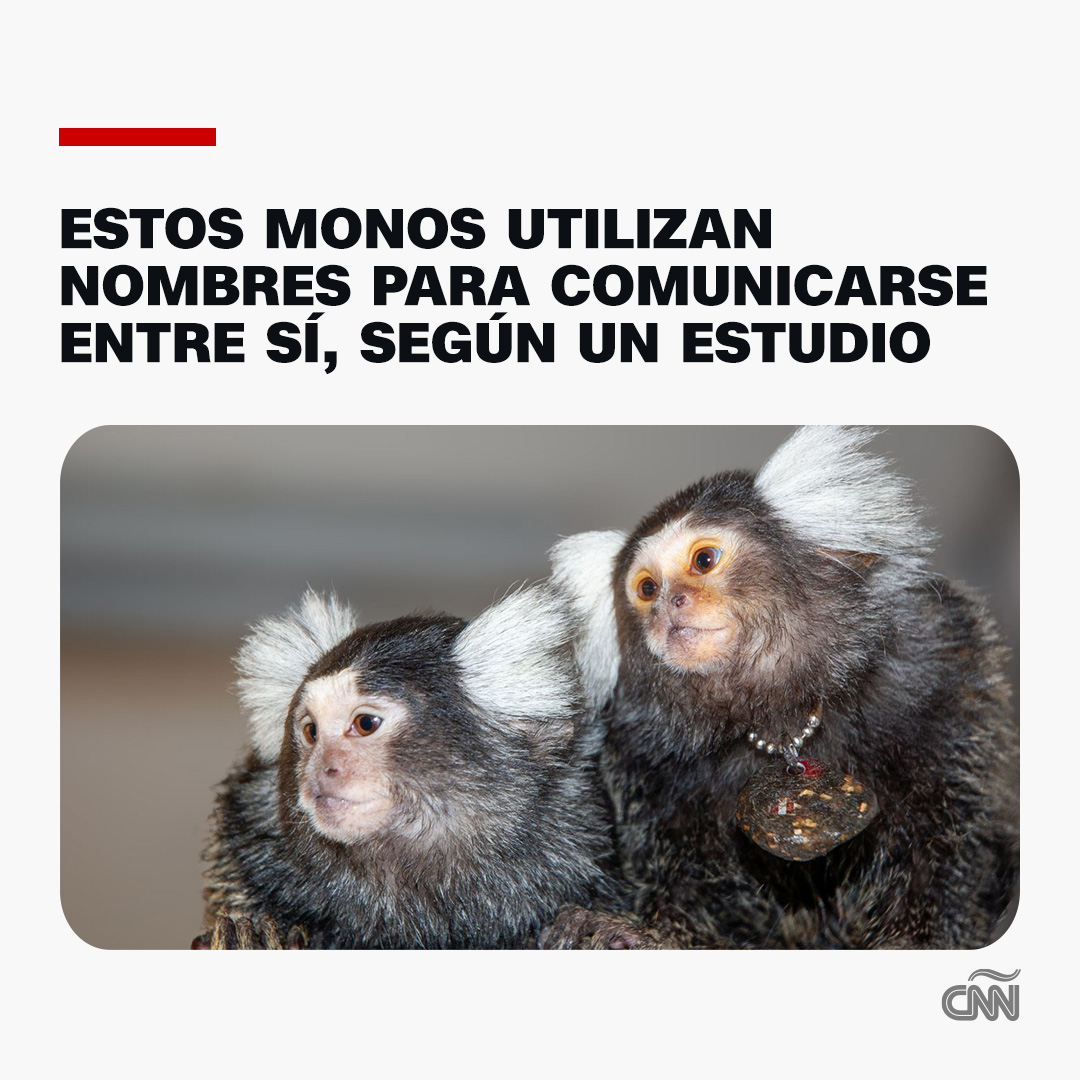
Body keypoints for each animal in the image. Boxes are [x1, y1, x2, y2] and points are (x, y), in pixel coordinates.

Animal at [541, 427, 1018, 949]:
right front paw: (647, 932)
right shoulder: (645, 756)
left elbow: (945, 842)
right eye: (647, 589)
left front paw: (916, 939)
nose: (670, 606)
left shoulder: (941, 670)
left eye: (704, 560)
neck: (780, 714)